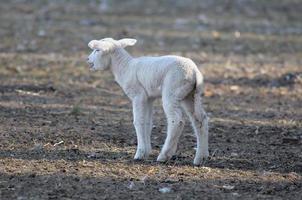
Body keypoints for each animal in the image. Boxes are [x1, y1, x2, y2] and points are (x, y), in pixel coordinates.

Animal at [86, 38, 209, 166]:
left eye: (97, 50)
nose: (87, 59)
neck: (125, 67)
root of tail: (194, 72)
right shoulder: (149, 98)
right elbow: (147, 123)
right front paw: (146, 152)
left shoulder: (138, 95)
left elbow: (138, 122)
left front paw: (139, 154)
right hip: (190, 95)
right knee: (200, 120)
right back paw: (200, 158)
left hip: (172, 91)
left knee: (177, 120)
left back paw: (164, 155)